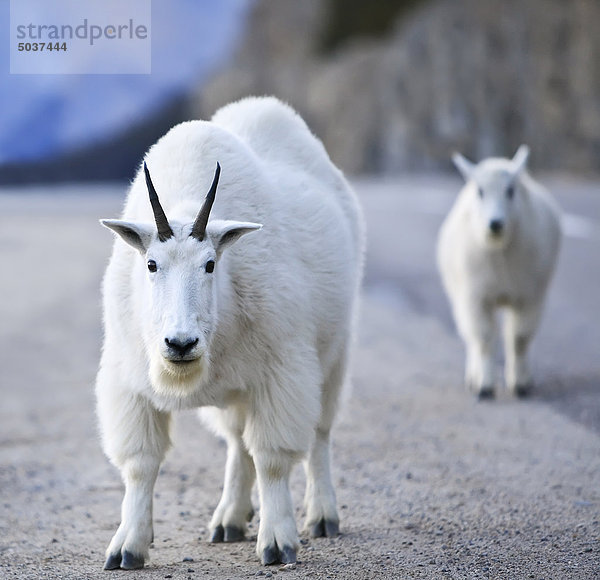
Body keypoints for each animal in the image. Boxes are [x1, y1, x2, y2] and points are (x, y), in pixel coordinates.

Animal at [96, 96, 364, 572]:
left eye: (210, 264)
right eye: (151, 264)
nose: (180, 344)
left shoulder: (282, 372)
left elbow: (273, 459)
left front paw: (277, 543)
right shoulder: (130, 381)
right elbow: (141, 464)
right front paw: (127, 547)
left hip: (334, 352)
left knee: (319, 434)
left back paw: (322, 515)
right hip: (240, 388)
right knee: (239, 442)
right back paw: (229, 520)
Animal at [436, 145, 564, 398]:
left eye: (510, 190)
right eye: (480, 191)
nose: (495, 224)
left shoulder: (530, 296)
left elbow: (519, 338)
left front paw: (520, 385)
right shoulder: (476, 297)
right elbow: (484, 339)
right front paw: (484, 387)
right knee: (471, 336)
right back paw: (473, 377)